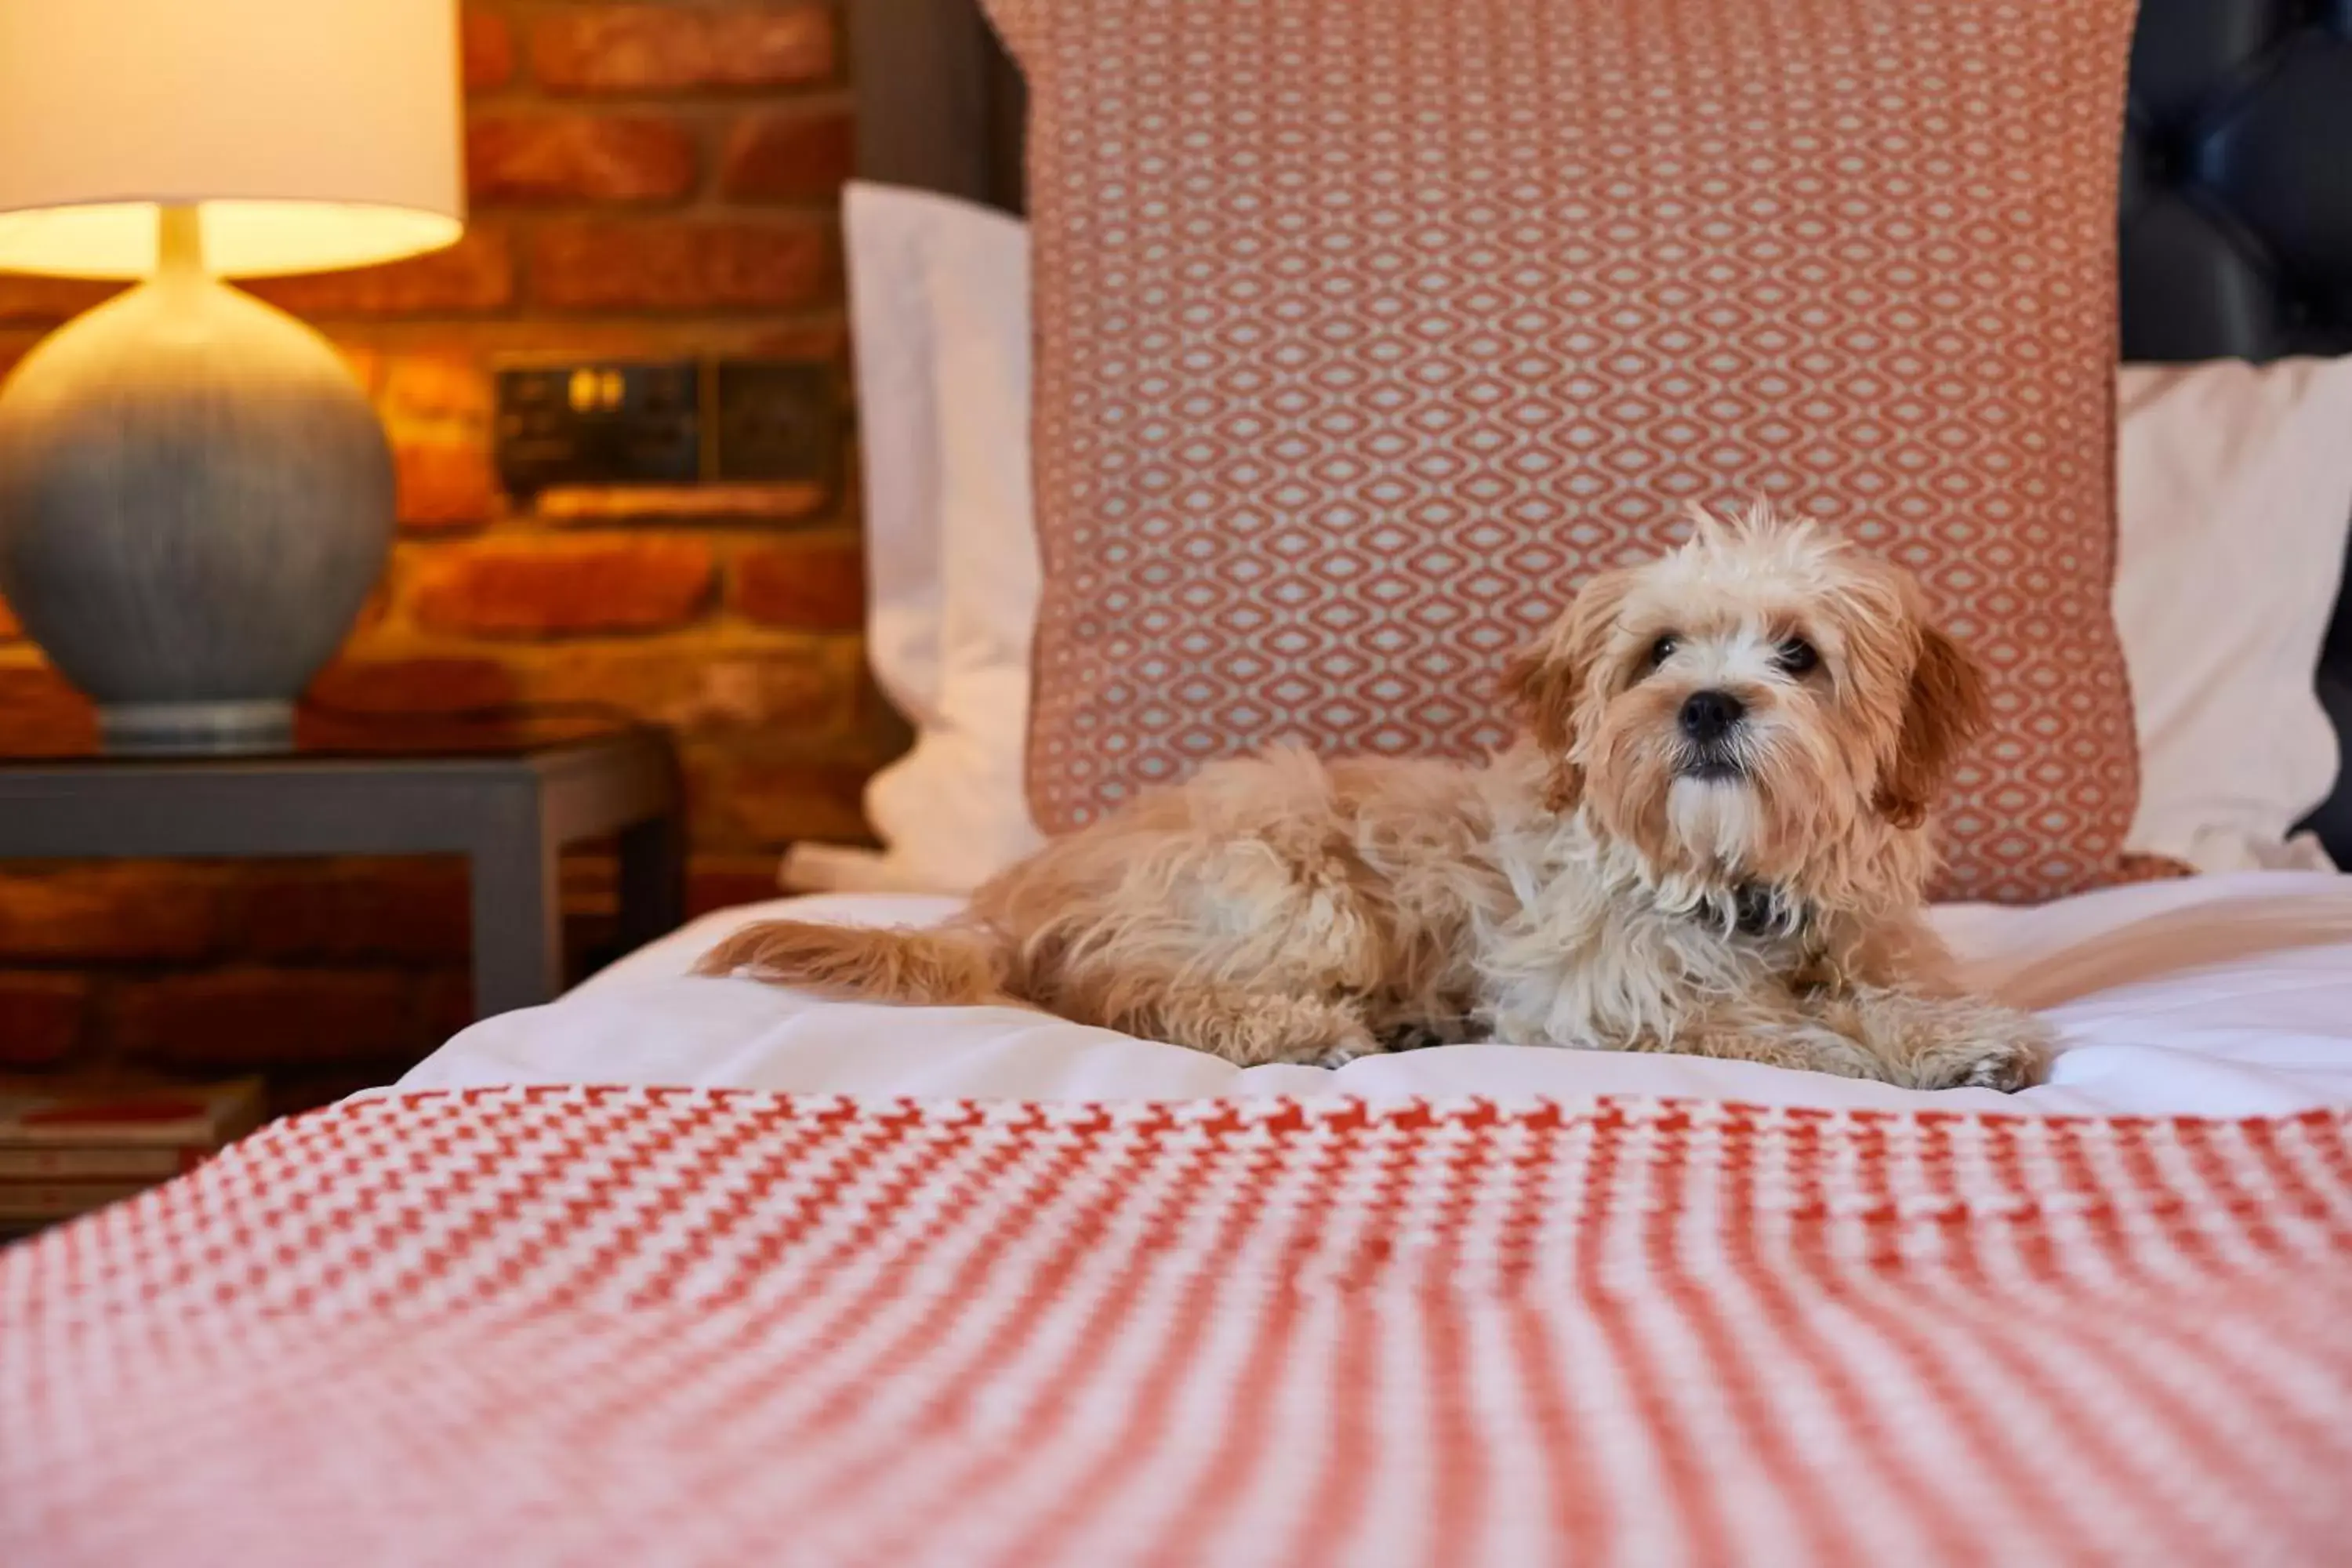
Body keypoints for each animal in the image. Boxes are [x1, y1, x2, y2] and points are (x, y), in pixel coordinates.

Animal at [701, 505, 2060, 1091]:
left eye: (1799, 655)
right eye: (1661, 651)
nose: (1709, 706)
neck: (1735, 887)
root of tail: (1013, 891)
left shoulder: (1866, 942)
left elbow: (1886, 996)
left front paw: (1953, 1039)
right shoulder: (1583, 1000)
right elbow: (1742, 1029)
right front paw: (1847, 1048)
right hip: (1286, 888)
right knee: (1131, 996)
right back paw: (1305, 1031)